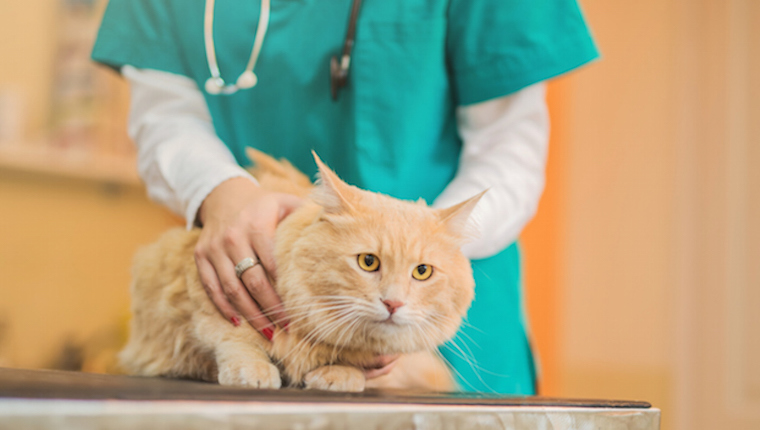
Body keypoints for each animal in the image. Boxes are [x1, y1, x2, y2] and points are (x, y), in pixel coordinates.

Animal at [121, 149, 484, 392]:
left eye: (422, 271)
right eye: (368, 262)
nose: (393, 304)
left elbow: (350, 362)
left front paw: (340, 373)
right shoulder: (208, 291)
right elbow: (234, 337)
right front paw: (252, 370)